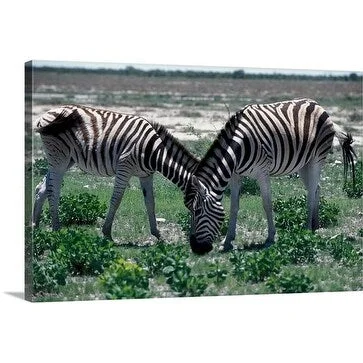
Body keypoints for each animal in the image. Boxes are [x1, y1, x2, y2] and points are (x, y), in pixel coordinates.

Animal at [32, 105, 200, 242]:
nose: (195, 239)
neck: (154, 151)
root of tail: (46, 114)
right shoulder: (124, 167)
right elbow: (116, 199)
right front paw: (107, 233)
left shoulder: (146, 174)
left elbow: (150, 202)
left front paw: (157, 234)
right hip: (58, 156)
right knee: (53, 190)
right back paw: (56, 228)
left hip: (67, 160)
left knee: (42, 188)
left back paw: (35, 225)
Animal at [186, 98, 356, 255]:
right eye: (191, 211)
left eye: (198, 211)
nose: (195, 248)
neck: (237, 150)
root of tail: (318, 105)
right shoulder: (235, 176)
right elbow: (234, 207)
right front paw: (227, 241)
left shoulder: (263, 172)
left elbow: (267, 204)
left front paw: (270, 238)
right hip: (304, 164)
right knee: (316, 189)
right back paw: (315, 224)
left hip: (317, 159)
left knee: (311, 194)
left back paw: (308, 230)